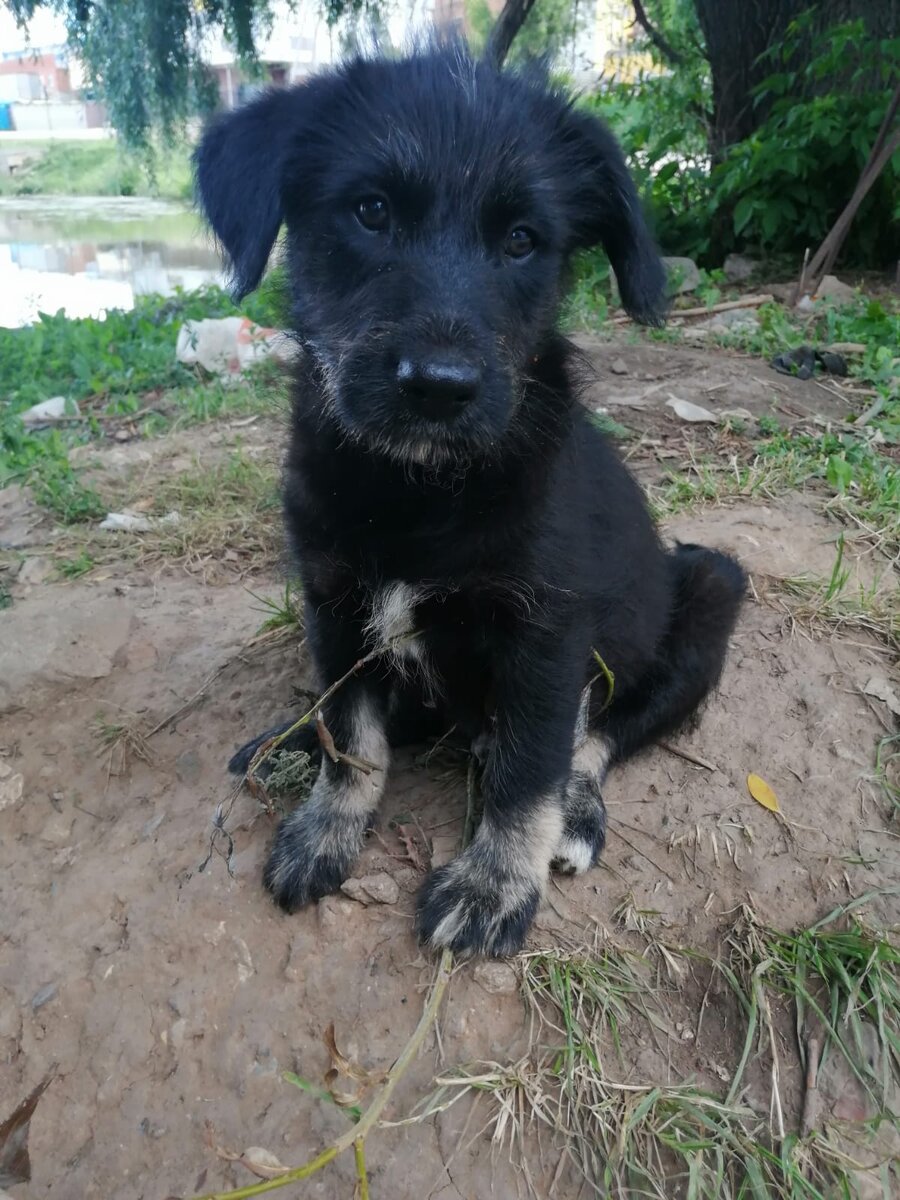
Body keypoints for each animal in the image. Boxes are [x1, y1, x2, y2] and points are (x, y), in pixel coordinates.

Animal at [196, 44, 748, 955]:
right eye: (370, 211)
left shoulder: (547, 635)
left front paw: (495, 886)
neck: (418, 488)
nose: (441, 388)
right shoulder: (333, 602)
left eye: (523, 241)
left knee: (598, 737)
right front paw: (327, 827)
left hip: (711, 591)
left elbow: (530, 769)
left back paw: (578, 811)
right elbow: (350, 732)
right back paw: (288, 740)